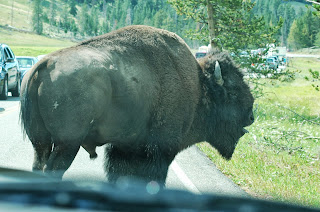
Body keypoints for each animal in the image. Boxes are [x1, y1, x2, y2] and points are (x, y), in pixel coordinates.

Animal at [20, 24, 255, 184]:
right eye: (233, 92)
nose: (252, 115)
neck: (198, 85)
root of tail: (44, 63)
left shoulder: (126, 147)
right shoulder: (160, 149)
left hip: (40, 142)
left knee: (38, 165)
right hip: (67, 144)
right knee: (53, 169)